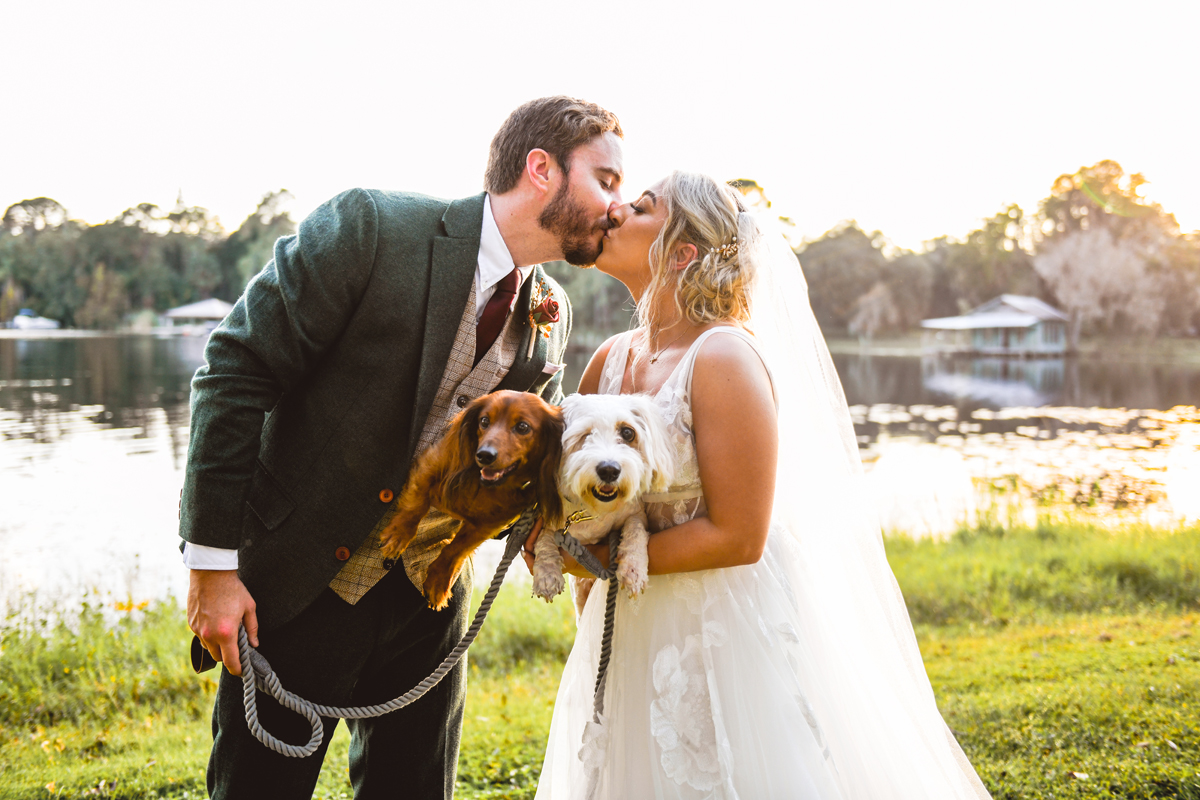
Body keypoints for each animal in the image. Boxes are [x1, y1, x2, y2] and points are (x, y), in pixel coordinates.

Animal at [532, 393, 676, 614]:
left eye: (627, 432)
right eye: (585, 435)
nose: (609, 470)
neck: (592, 509)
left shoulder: (635, 513)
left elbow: (635, 529)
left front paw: (633, 567)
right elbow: (544, 537)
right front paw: (546, 573)